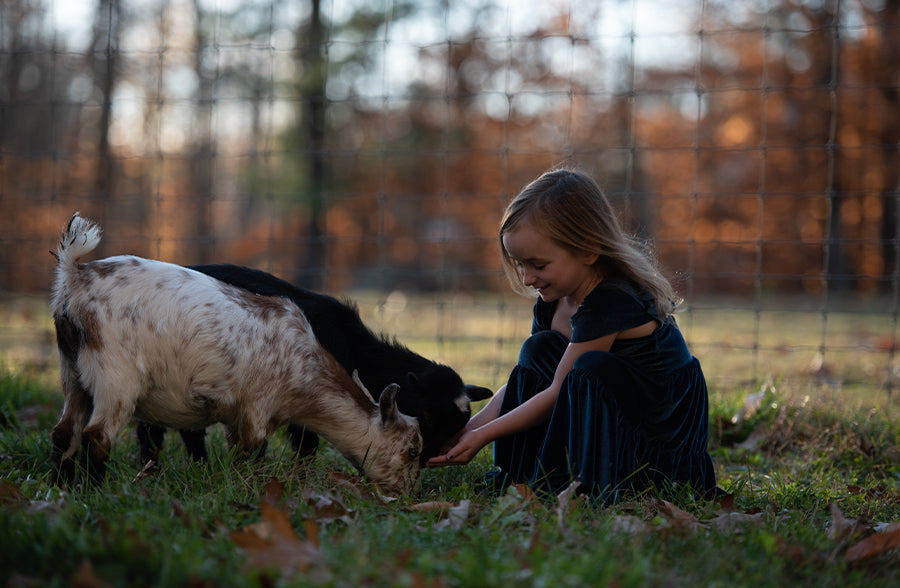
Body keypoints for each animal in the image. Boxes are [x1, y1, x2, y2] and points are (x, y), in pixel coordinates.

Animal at [51, 214, 424, 494]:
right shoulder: (257, 406)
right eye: (412, 449)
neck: (304, 369)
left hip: (71, 372)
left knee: (64, 433)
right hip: (116, 377)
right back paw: (94, 492)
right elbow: (252, 453)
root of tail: (76, 275)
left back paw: (61, 488)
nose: (408, 493)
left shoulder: (235, 416)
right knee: (96, 437)